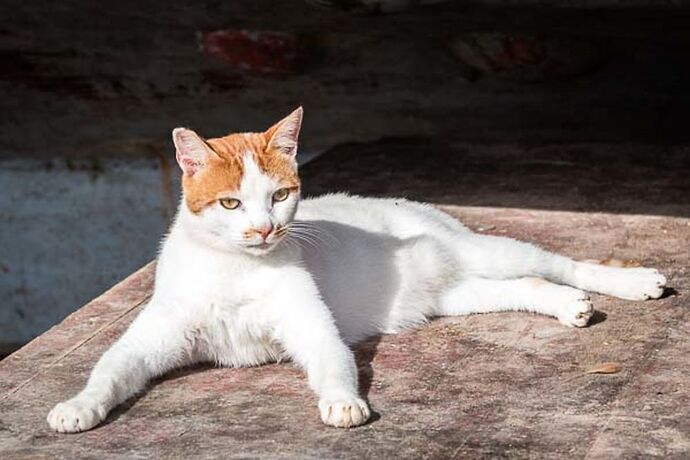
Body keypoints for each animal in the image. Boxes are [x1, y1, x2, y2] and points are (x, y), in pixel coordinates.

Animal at [48, 107, 668, 432]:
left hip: (485, 252)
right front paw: (78, 407)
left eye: (280, 196)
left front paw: (343, 403)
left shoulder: (311, 327)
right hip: (458, 294)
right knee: (528, 285)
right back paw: (567, 307)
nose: (264, 230)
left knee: (558, 262)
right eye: (230, 204)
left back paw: (632, 282)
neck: (239, 269)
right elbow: (109, 369)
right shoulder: (150, 339)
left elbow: (333, 364)